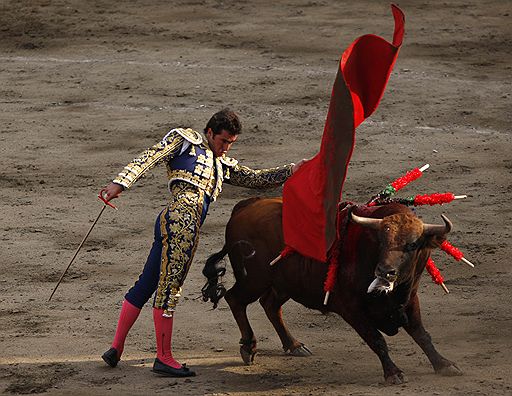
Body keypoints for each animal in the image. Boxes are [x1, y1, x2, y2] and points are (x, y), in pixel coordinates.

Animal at [202, 197, 462, 384]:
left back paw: (294, 345)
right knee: (234, 298)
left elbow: (422, 334)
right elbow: (376, 339)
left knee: (270, 305)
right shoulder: (350, 307)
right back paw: (249, 346)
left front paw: (444, 364)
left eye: (412, 244)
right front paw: (393, 373)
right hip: (254, 280)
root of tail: (244, 206)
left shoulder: (409, 299)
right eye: (381, 240)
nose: (385, 271)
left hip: (286, 282)